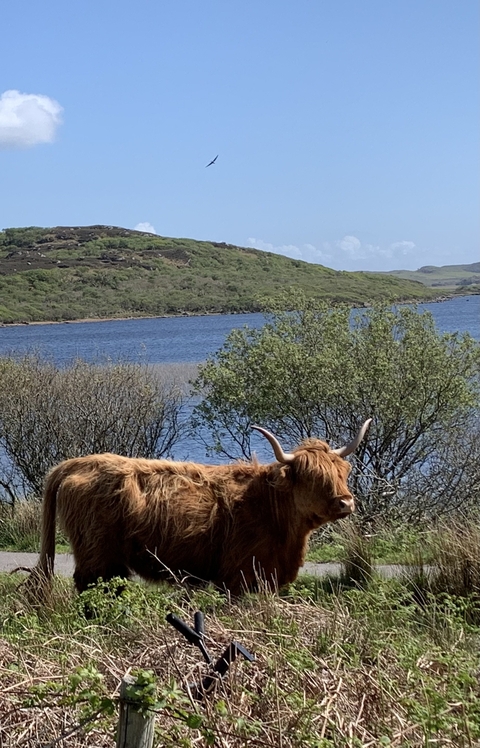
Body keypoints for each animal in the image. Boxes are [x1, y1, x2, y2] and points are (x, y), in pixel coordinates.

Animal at [31, 419, 371, 597]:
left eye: (342, 473)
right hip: (98, 557)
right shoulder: (238, 576)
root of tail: (79, 462)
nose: (346, 502)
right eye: (313, 477)